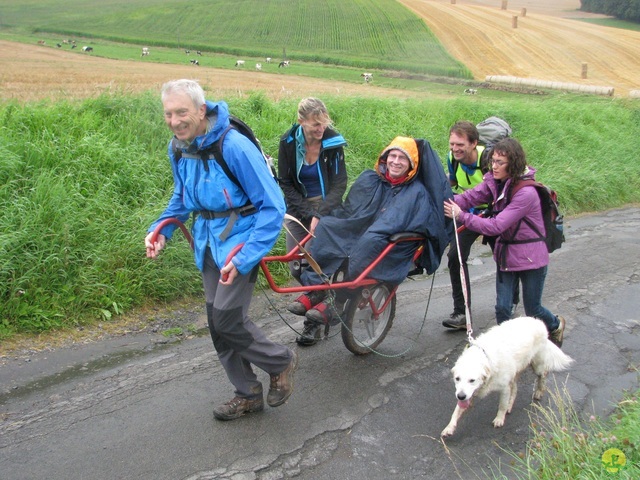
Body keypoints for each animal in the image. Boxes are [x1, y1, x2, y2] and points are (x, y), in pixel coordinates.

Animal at [442, 316, 572, 436]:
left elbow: (502, 405)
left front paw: (499, 419)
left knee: (542, 376)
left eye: (472, 380)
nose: (460, 396)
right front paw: (449, 427)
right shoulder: (467, 394)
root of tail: (537, 321)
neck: (486, 358)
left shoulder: (504, 388)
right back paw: (511, 405)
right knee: (515, 389)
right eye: (457, 379)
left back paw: (539, 391)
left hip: (537, 366)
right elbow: (456, 411)